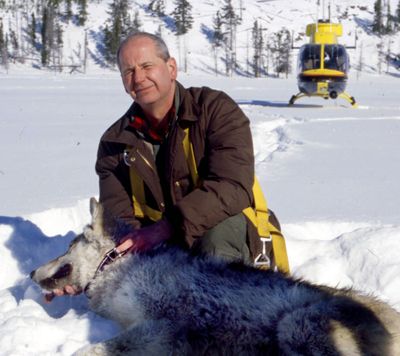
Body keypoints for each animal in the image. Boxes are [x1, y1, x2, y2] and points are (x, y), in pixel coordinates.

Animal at [30, 199, 400, 354]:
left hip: (297, 325)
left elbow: (89, 351)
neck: (117, 268)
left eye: (67, 246)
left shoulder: (164, 324)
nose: (31, 271)